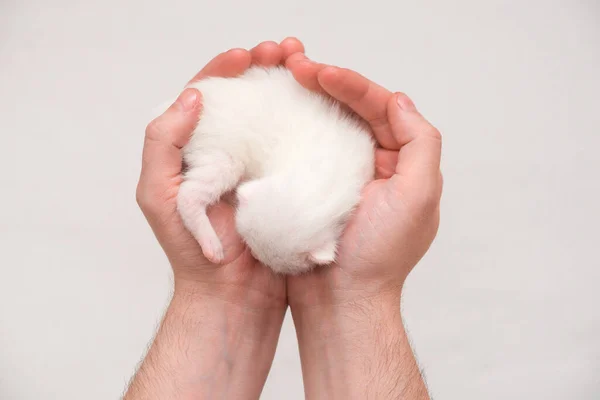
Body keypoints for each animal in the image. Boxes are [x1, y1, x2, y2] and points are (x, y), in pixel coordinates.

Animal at [178, 66, 376, 276]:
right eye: (250, 246)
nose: (254, 256)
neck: (319, 171)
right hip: (222, 158)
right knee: (187, 195)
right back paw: (211, 244)